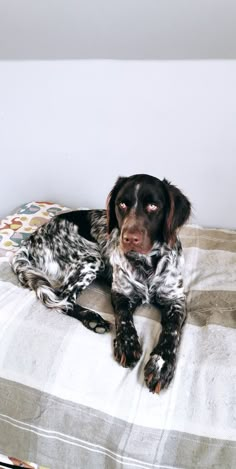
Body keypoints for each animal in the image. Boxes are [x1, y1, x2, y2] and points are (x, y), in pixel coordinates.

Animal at [12, 175, 191, 392]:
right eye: (122, 204)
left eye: (153, 206)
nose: (129, 238)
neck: (146, 264)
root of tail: (31, 239)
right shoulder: (121, 293)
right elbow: (124, 319)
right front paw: (127, 344)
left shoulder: (176, 299)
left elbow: (172, 330)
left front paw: (161, 363)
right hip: (91, 258)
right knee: (62, 299)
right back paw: (92, 318)